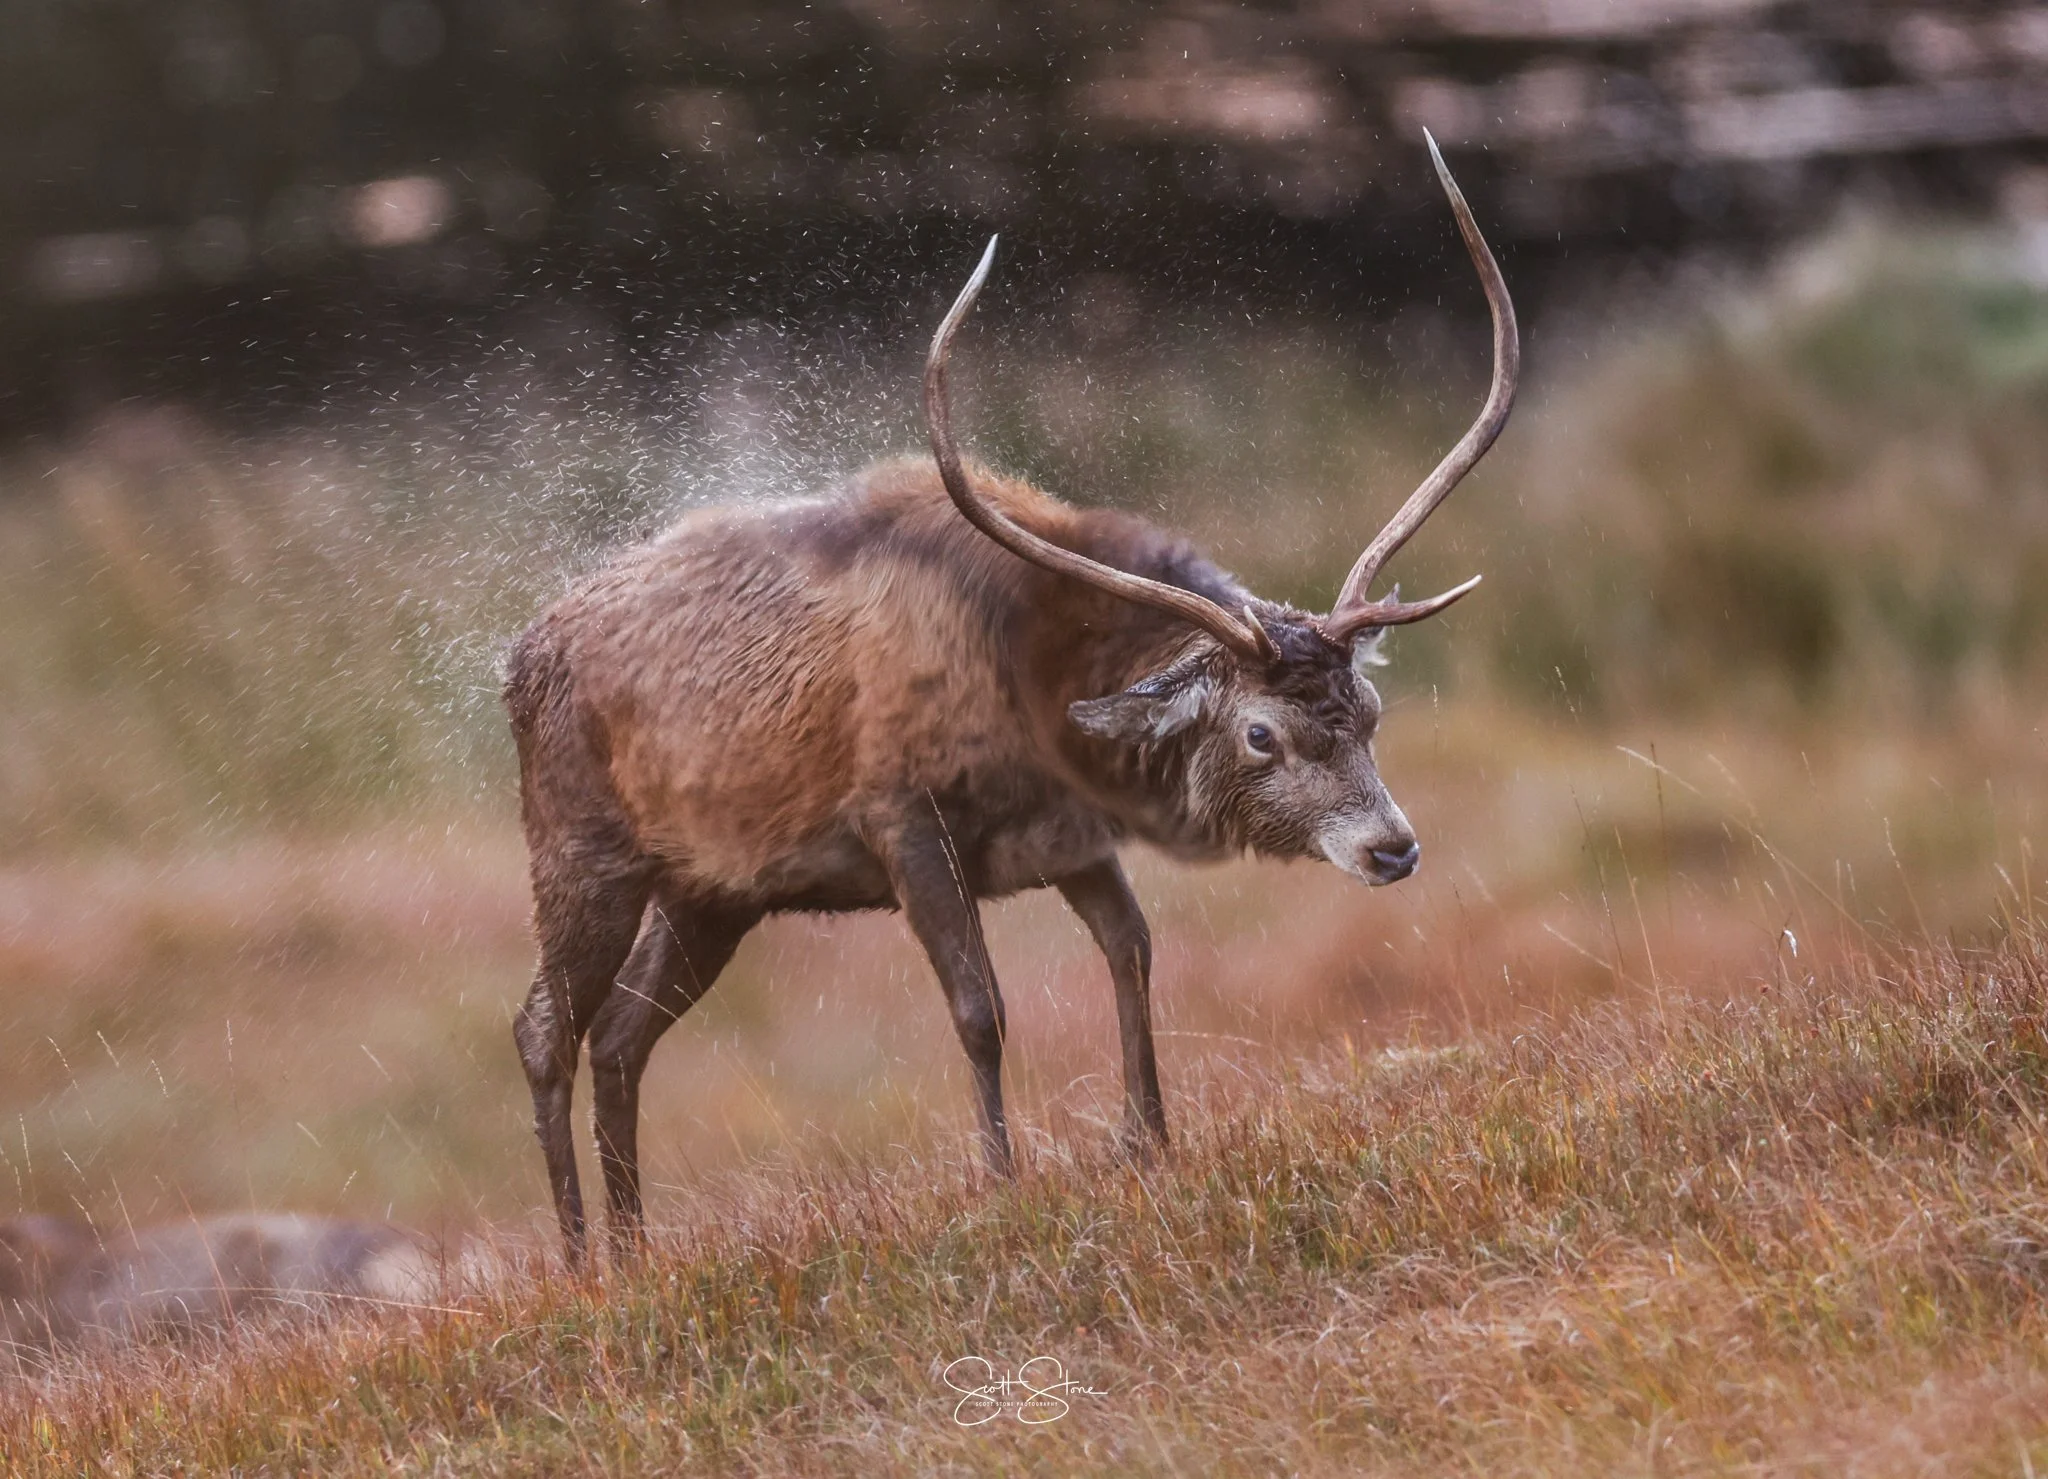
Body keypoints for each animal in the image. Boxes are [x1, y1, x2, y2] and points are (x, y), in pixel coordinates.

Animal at [505, 135, 1517, 1262]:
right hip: (581, 847)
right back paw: (582, 1260)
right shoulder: (901, 818)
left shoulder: (1072, 841)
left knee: (622, 1035)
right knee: (545, 1027)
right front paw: (1000, 1180)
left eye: (1369, 715)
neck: (1031, 704)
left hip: (712, 890)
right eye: (1260, 732)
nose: (1393, 848)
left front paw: (1147, 1143)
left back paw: (637, 1247)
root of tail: (517, 656)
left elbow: (1132, 951)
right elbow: (977, 1005)